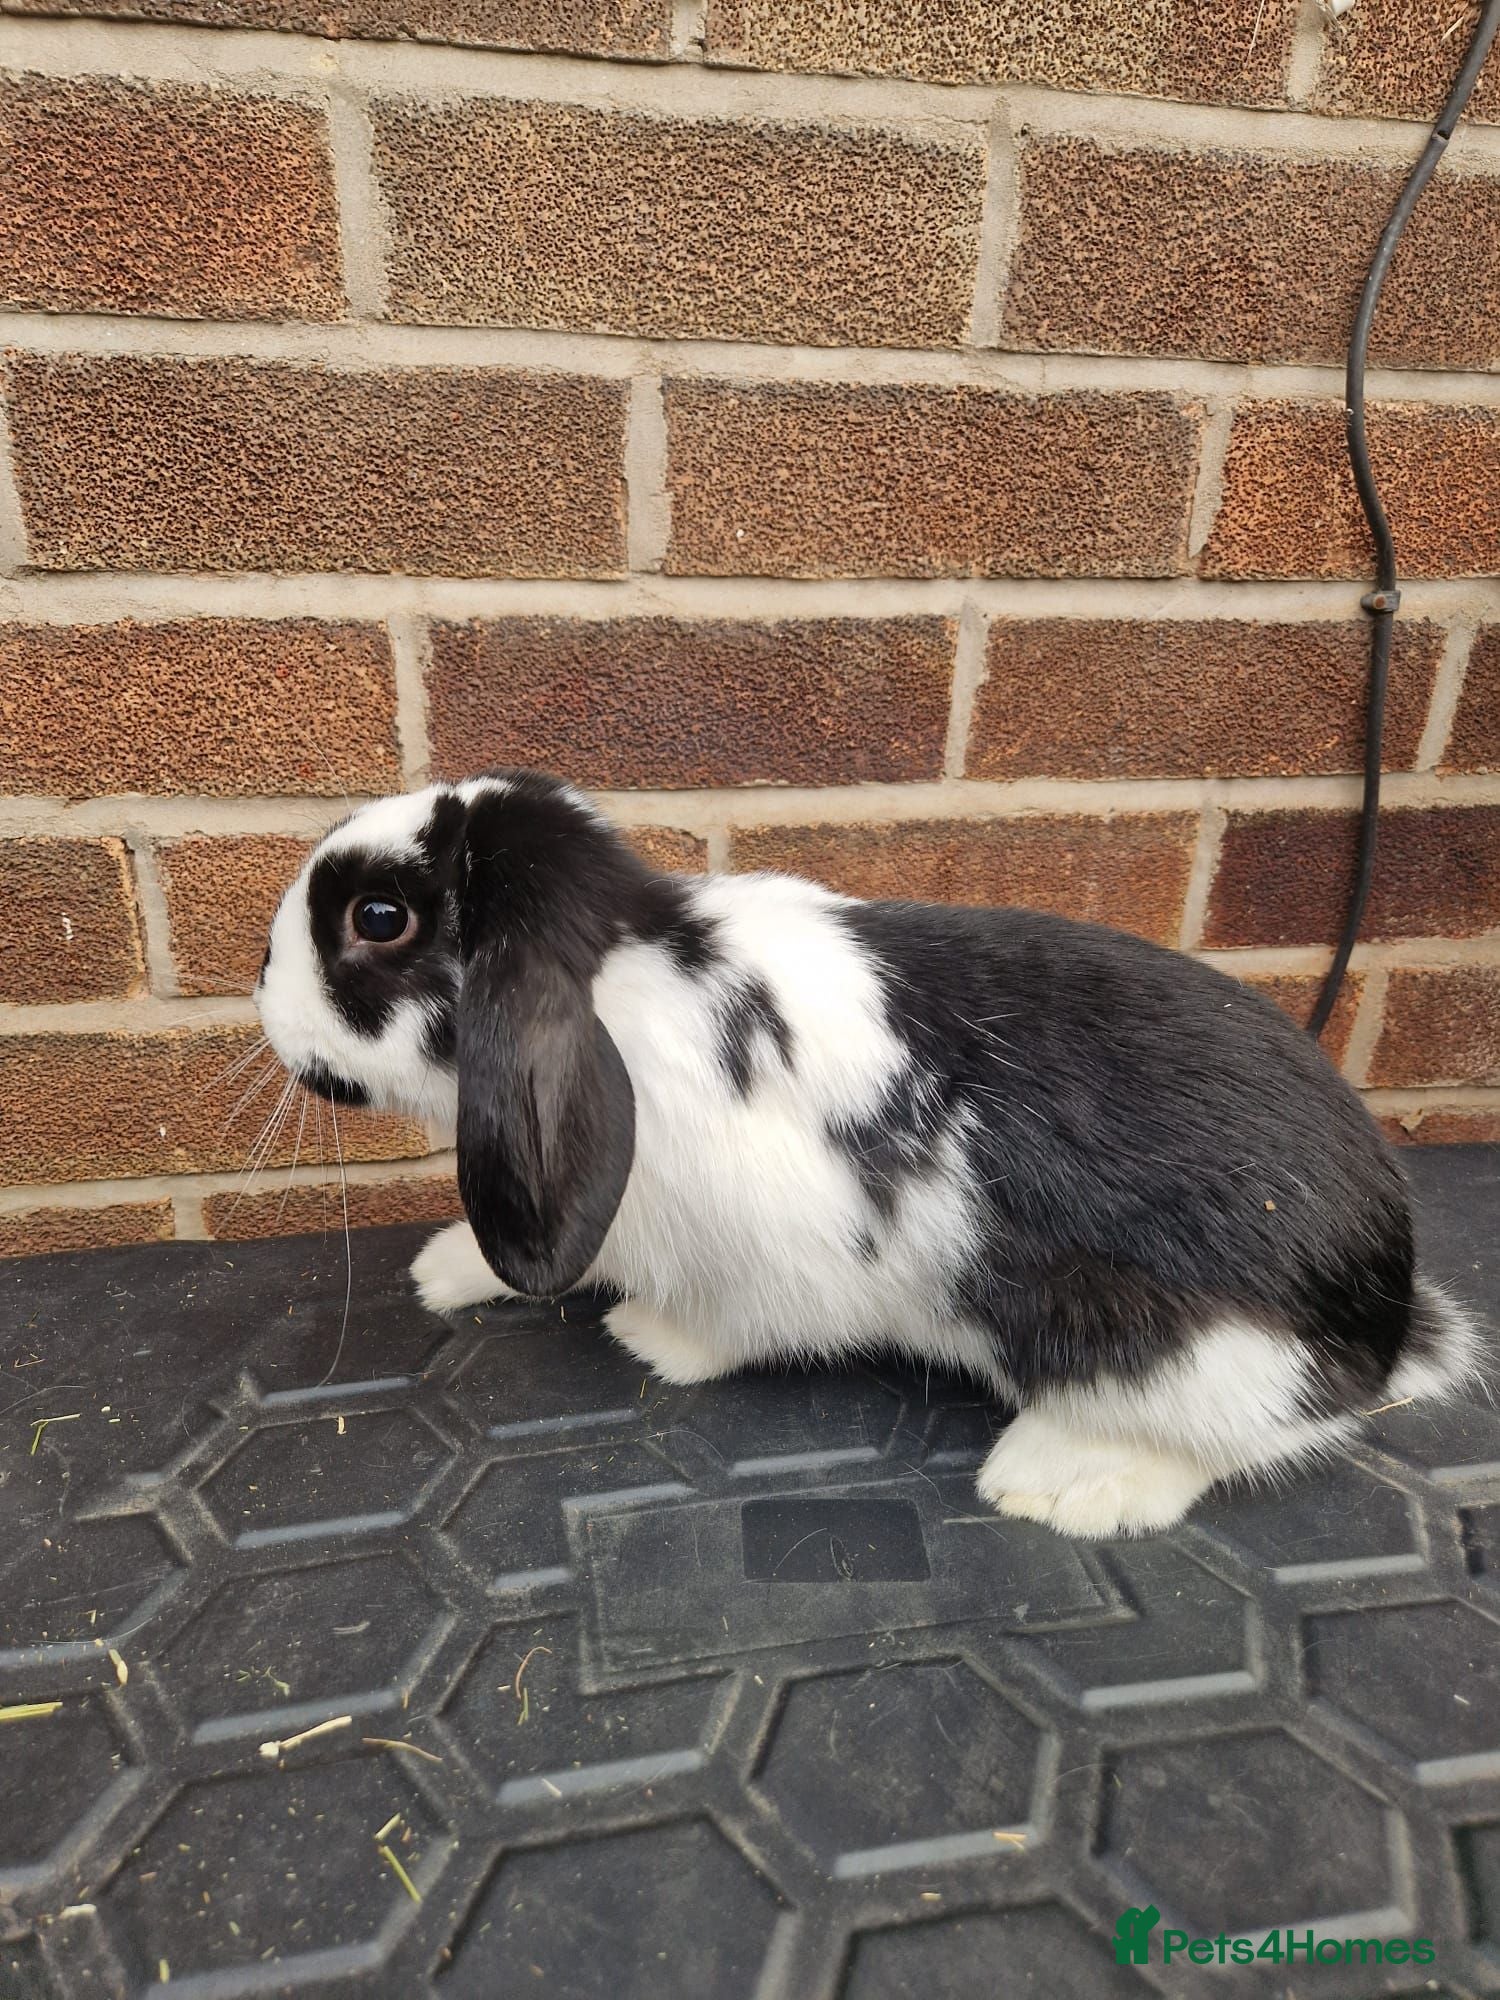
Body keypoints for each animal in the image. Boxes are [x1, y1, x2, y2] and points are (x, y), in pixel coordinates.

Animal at [255, 768, 1483, 1539]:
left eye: (378, 917)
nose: (261, 993)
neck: (625, 984)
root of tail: (1385, 1316)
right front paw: (443, 1269)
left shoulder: (773, 1252)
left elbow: (727, 1325)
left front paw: (651, 1338)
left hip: (1162, 1346)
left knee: (1250, 1434)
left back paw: (1062, 1482)